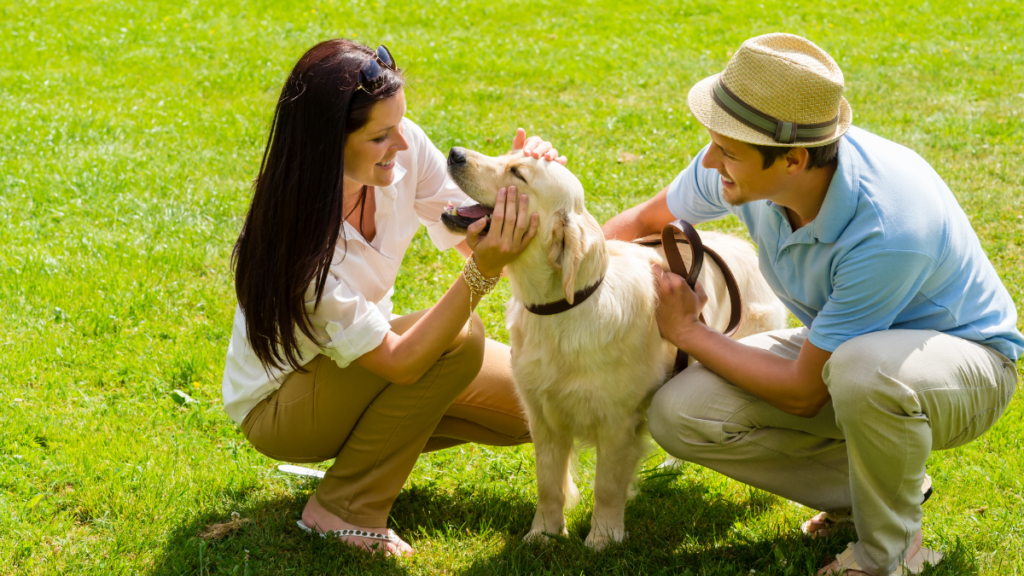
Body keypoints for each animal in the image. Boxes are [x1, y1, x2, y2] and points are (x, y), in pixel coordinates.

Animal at [444, 144, 786, 545]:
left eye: (518, 173)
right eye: (506, 157)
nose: (454, 153)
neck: (565, 308)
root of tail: (741, 245)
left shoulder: (618, 422)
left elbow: (606, 486)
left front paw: (603, 538)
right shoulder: (542, 416)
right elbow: (549, 483)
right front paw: (543, 534)